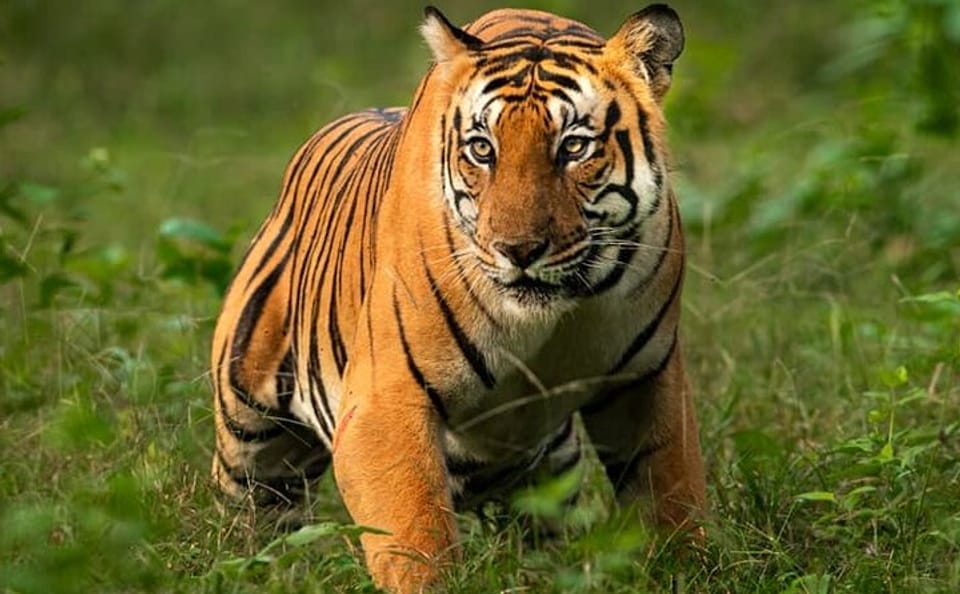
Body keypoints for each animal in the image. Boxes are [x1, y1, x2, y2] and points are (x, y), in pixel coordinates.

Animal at [210, 4, 705, 592]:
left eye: (574, 147)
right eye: (482, 149)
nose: (518, 249)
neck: (551, 319)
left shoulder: (648, 377)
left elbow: (672, 495)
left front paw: (688, 570)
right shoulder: (385, 402)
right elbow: (416, 537)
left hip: (552, 465)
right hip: (250, 437)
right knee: (259, 514)